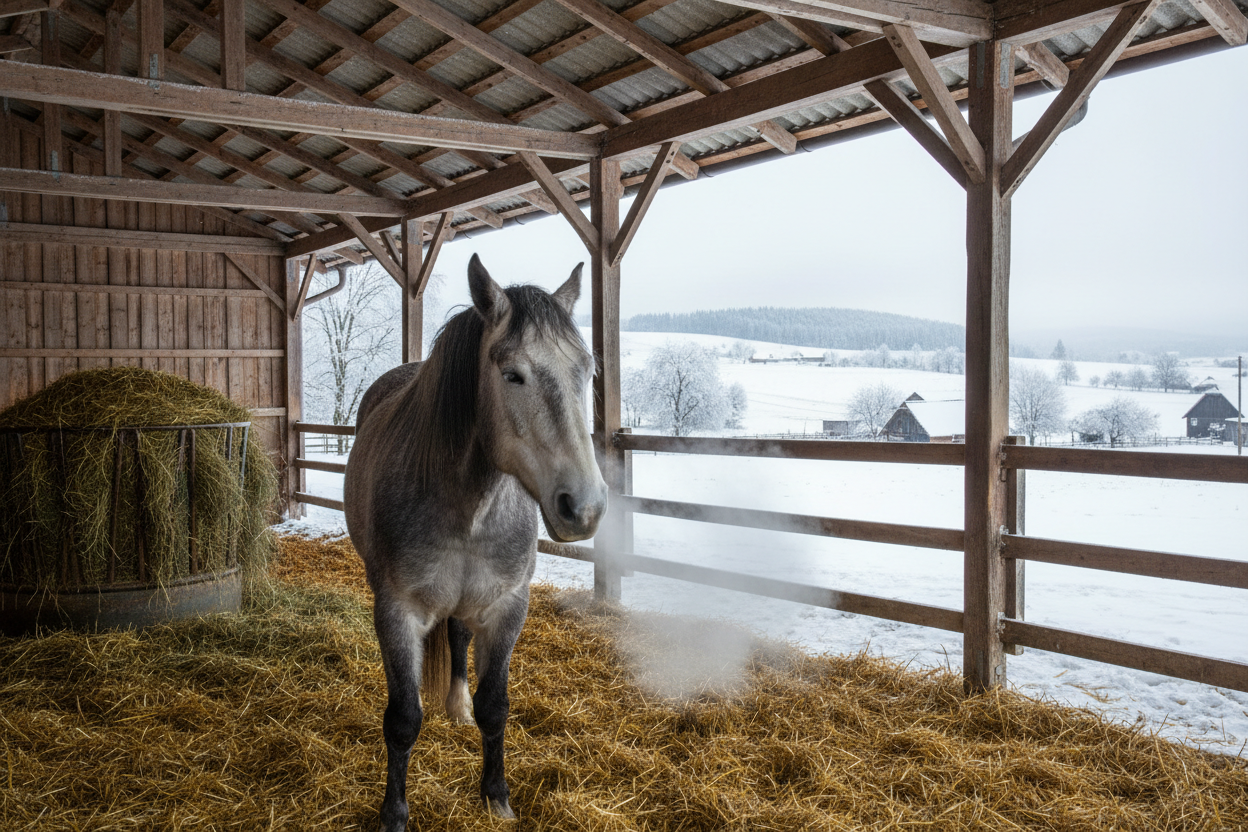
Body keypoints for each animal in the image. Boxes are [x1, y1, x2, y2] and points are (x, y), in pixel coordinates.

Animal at [344, 253, 607, 831]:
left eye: (587, 371)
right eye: (513, 374)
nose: (584, 507)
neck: (470, 510)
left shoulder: (507, 606)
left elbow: (496, 706)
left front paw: (496, 796)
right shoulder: (396, 610)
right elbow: (402, 718)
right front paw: (394, 813)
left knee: (460, 636)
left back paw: (457, 706)